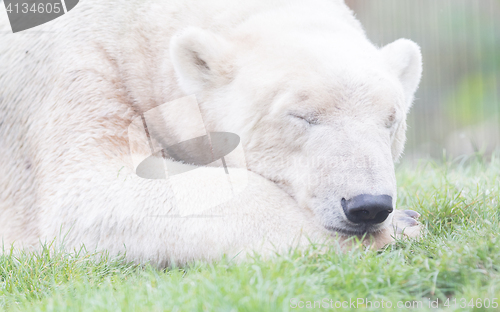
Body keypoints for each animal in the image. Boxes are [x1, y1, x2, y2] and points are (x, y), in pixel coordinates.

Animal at [0, 0, 422, 266]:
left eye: (391, 120)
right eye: (301, 116)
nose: (368, 205)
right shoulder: (79, 69)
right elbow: (91, 190)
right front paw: (403, 226)